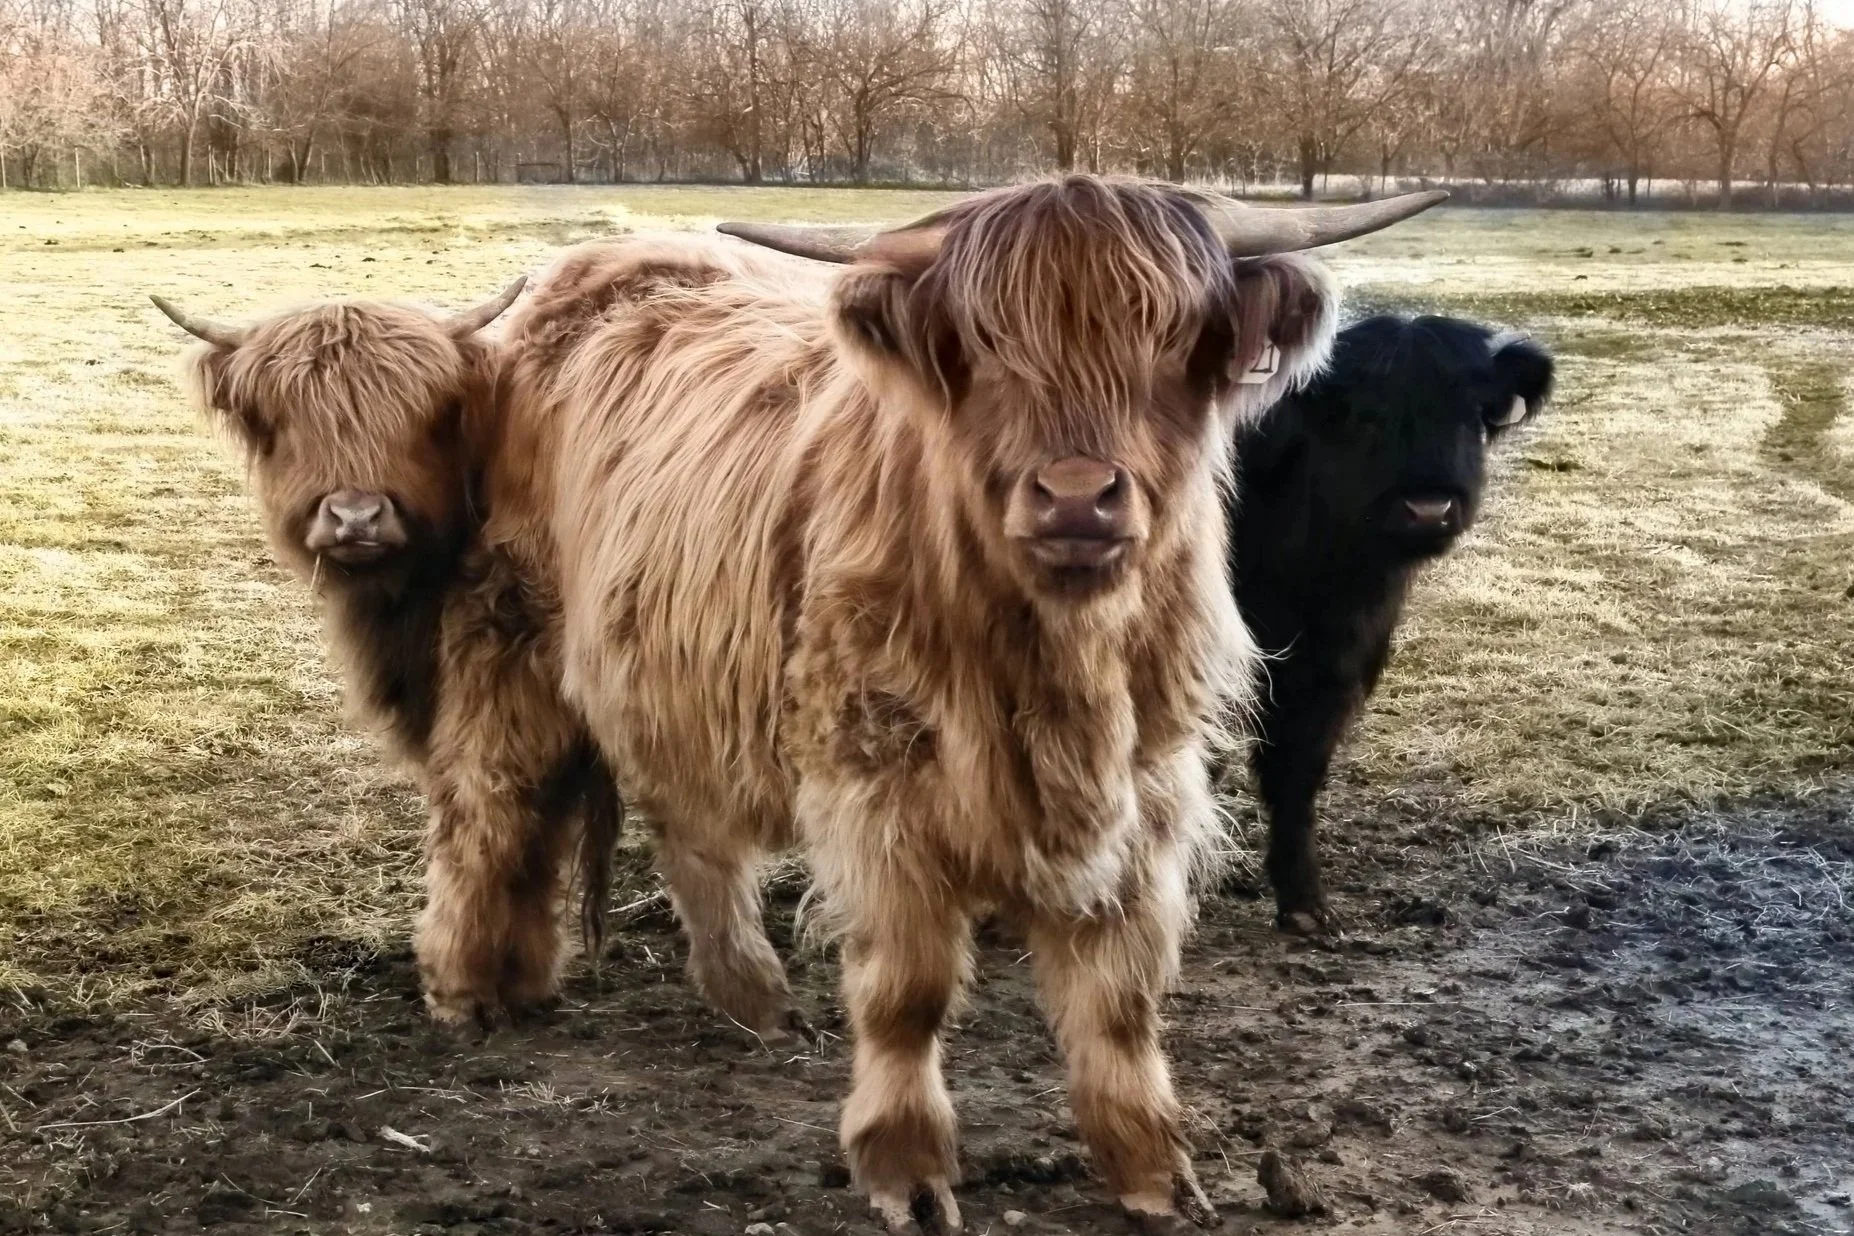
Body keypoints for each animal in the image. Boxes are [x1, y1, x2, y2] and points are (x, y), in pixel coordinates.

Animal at [151, 283, 623, 1028]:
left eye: (421, 414)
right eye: (285, 419)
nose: (356, 518)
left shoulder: (509, 682)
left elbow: (487, 815)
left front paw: (461, 984)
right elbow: (534, 836)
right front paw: (521, 975)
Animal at [542, 177, 1445, 1231]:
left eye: (1177, 338)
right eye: (981, 346)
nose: (1077, 498)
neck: (1055, 665)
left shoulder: (1148, 788)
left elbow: (1122, 997)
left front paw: (1152, 1168)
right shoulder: (875, 783)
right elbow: (907, 991)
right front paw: (906, 1168)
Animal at [1225, 313, 1555, 936]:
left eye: (1469, 414)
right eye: (1363, 416)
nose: (1428, 509)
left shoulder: (1333, 665)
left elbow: (1296, 774)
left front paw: (1304, 903)